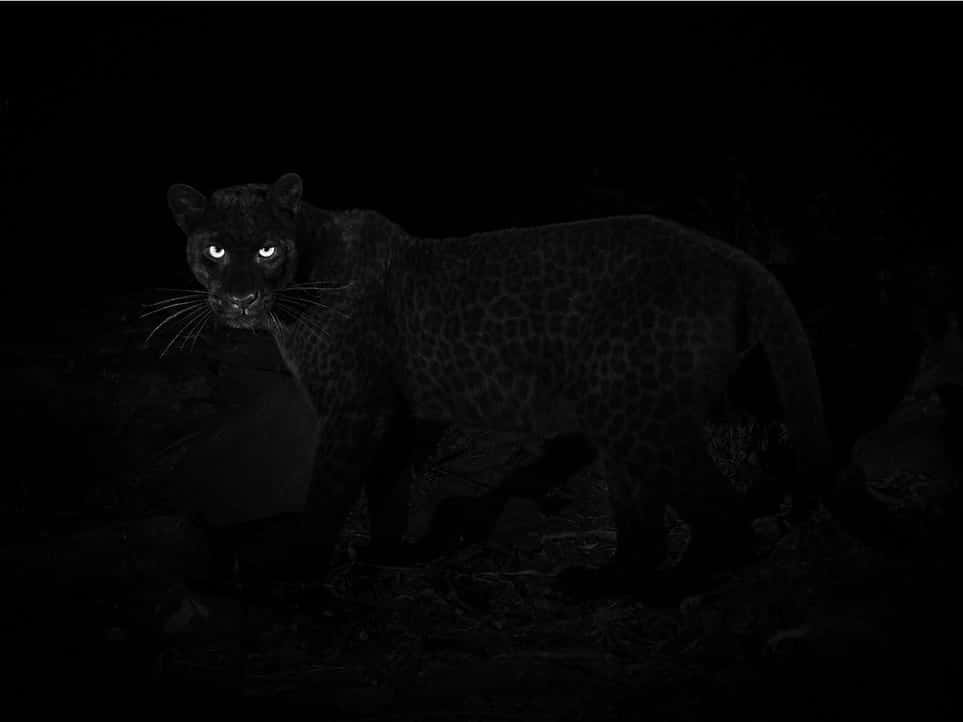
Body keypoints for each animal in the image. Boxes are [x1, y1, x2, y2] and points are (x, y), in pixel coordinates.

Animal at [164, 172, 904, 601]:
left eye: (266, 249)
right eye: (214, 249)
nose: (238, 297)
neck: (303, 271)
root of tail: (735, 257)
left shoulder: (352, 409)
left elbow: (329, 491)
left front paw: (297, 567)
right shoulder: (392, 413)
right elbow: (388, 487)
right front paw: (385, 556)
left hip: (644, 415)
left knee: (719, 512)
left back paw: (672, 587)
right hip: (622, 413)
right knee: (646, 520)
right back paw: (603, 582)